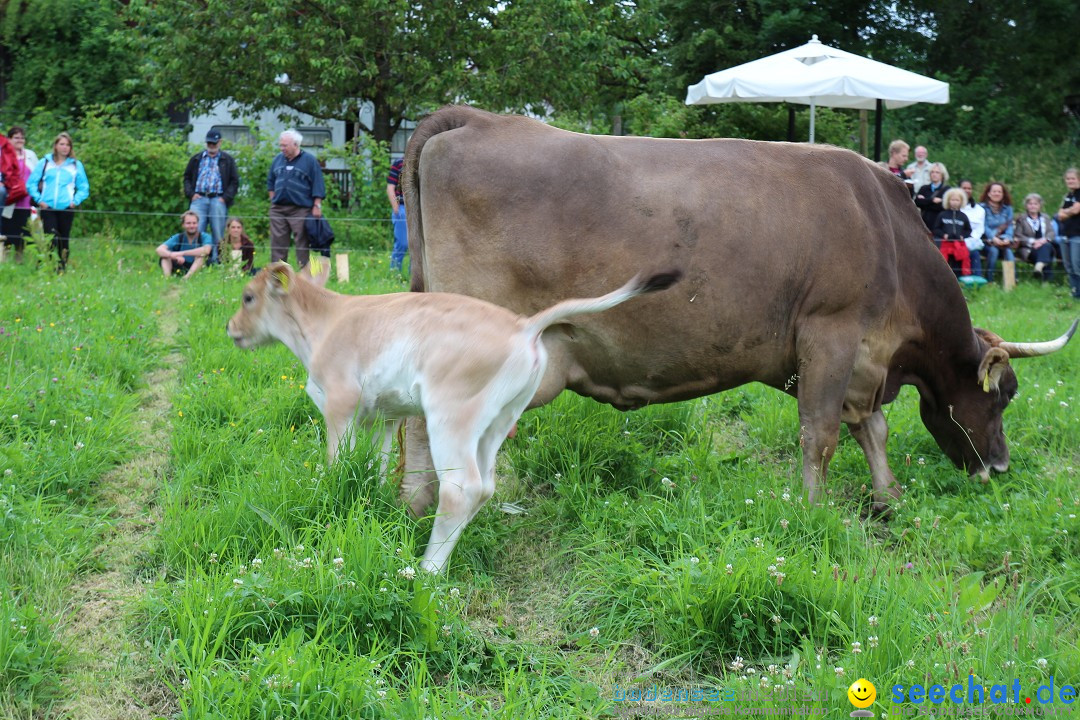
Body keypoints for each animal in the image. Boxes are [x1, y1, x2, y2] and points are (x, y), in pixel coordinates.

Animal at [227, 262, 678, 569]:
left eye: (248, 297)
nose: (231, 328)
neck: (322, 325)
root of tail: (523, 325)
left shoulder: (340, 404)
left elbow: (337, 464)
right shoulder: (383, 416)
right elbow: (372, 467)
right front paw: (372, 504)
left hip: (451, 415)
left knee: (462, 488)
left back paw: (428, 569)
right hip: (496, 421)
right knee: (486, 487)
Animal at [401, 106, 1075, 520]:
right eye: (1005, 394)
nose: (1000, 467)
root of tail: (478, 118)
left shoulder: (863, 359)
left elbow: (872, 428)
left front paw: (887, 500)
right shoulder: (831, 334)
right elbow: (820, 433)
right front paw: (813, 513)